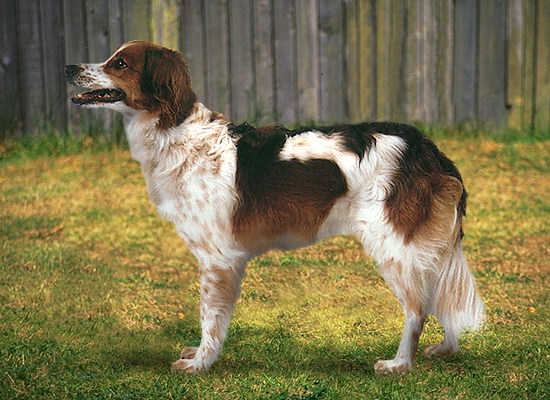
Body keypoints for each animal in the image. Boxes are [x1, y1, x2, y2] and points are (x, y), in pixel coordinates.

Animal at [65, 41, 484, 374]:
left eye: (120, 63)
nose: (69, 67)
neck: (176, 131)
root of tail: (424, 145)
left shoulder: (218, 260)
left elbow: (210, 318)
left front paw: (200, 363)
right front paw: (200, 356)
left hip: (391, 245)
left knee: (417, 307)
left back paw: (400, 365)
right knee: (438, 293)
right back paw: (446, 349)